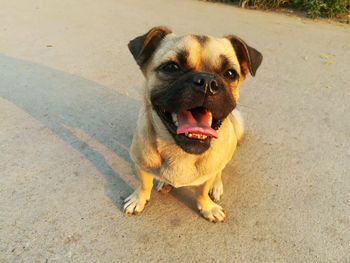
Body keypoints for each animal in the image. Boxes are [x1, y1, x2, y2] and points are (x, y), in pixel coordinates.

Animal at [121, 26, 262, 223]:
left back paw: (216, 185)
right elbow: (144, 184)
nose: (207, 82)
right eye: (171, 67)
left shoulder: (208, 173)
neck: (180, 150)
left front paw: (207, 207)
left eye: (230, 74)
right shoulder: (141, 164)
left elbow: (202, 191)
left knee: (220, 169)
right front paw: (138, 199)